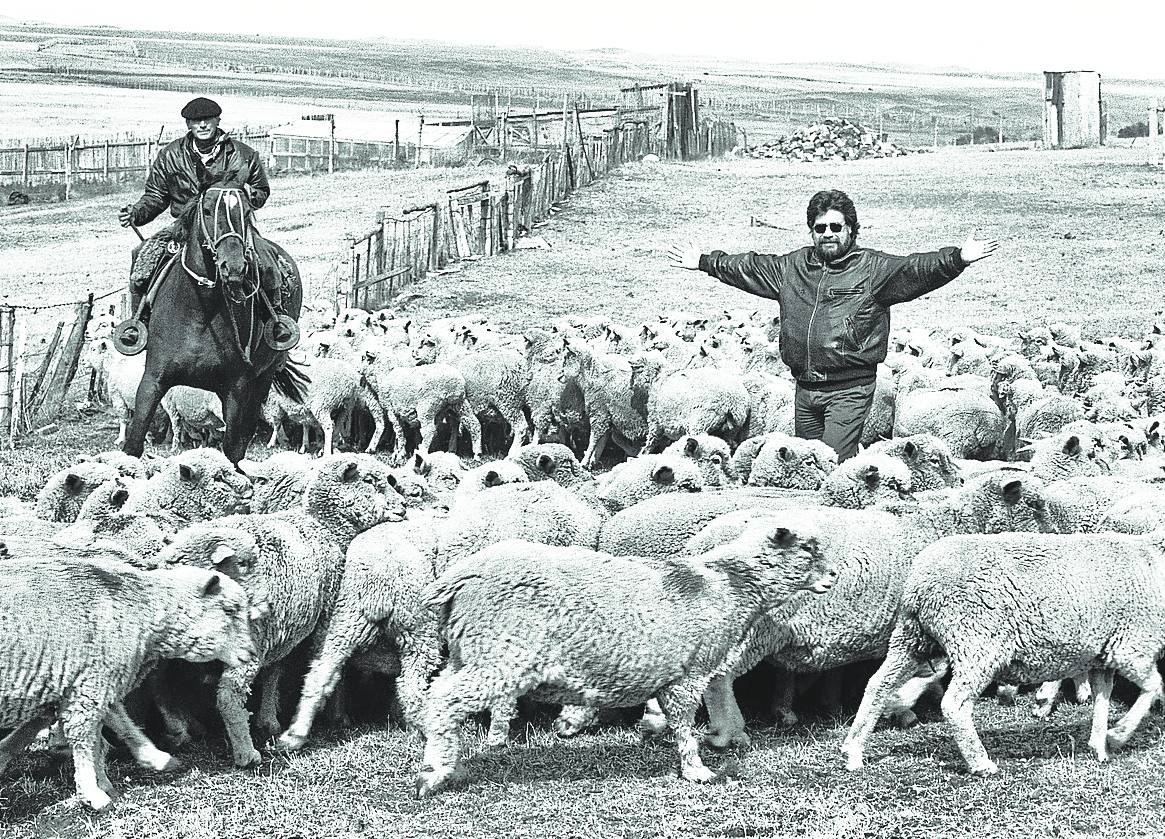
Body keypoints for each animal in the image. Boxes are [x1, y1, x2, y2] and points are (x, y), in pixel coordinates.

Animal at [0, 554, 252, 811]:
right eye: (230, 610)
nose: (251, 653)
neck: (140, 609)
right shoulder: (90, 683)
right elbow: (85, 739)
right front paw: (93, 793)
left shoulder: (96, 685)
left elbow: (118, 726)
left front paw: (152, 761)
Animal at [121, 185, 305, 466]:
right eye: (207, 211)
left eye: (246, 212)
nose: (234, 267)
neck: (200, 311)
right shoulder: (153, 379)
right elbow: (134, 443)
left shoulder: (237, 388)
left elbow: (232, 449)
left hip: (262, 380)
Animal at [414, 524, 834, 792]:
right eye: (806, 550)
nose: (832, 576)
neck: (727, 584)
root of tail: (463, 575)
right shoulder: (690, 672)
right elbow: (685, 725)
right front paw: (697, 771)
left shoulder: (668, 672)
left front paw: (656, 732)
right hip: (500, 656)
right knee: (443, 700)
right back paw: (435, 773)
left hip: (469, 652)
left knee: (438, 693)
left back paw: (445, 761)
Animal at [843, 533, 1165, 778]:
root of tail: (920, 582)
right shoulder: (1132, 646)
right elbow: (1153, 687)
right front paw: (1118, 735)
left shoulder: (1103, 655)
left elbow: (1102, 700)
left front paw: (1099, 745)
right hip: (976, 642)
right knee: (954, 704)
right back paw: (981, 763)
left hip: (912, 638)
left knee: (877, 685)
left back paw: (853, 750)